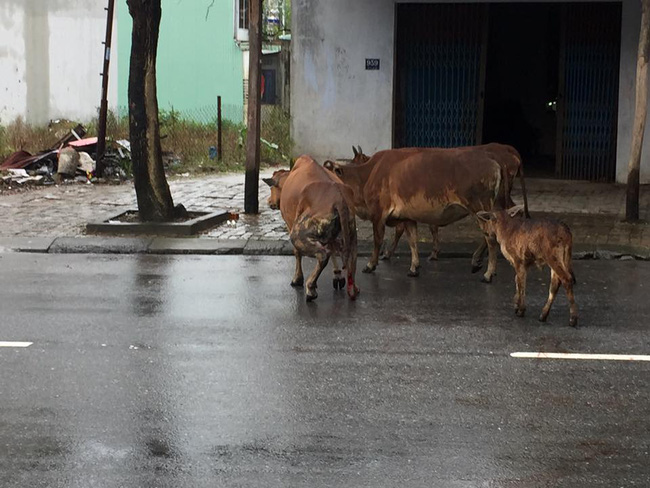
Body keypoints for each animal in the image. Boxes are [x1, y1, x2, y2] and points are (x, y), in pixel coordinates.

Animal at [260, 156, 360, 302]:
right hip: (351, 233)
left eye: (271, 188)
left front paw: (297, 279)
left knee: (323, 255)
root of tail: (339, 199)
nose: (269, 201)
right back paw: (354, 288)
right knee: (349, 258)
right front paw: (337, 275)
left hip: (298, 233)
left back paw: (310, 288)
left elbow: (297, 253)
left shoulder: (290, 224)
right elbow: (332, 250)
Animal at [326, 147, 504, 280]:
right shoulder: (407, 217)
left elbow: (378, 241)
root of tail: (492, 161)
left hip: (478, 208)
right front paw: (414, 267)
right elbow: (412, 240)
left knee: (490, 238)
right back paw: (480, 263)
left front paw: (371, 264)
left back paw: (488, 273)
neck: (368, 174)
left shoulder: (378, 214)